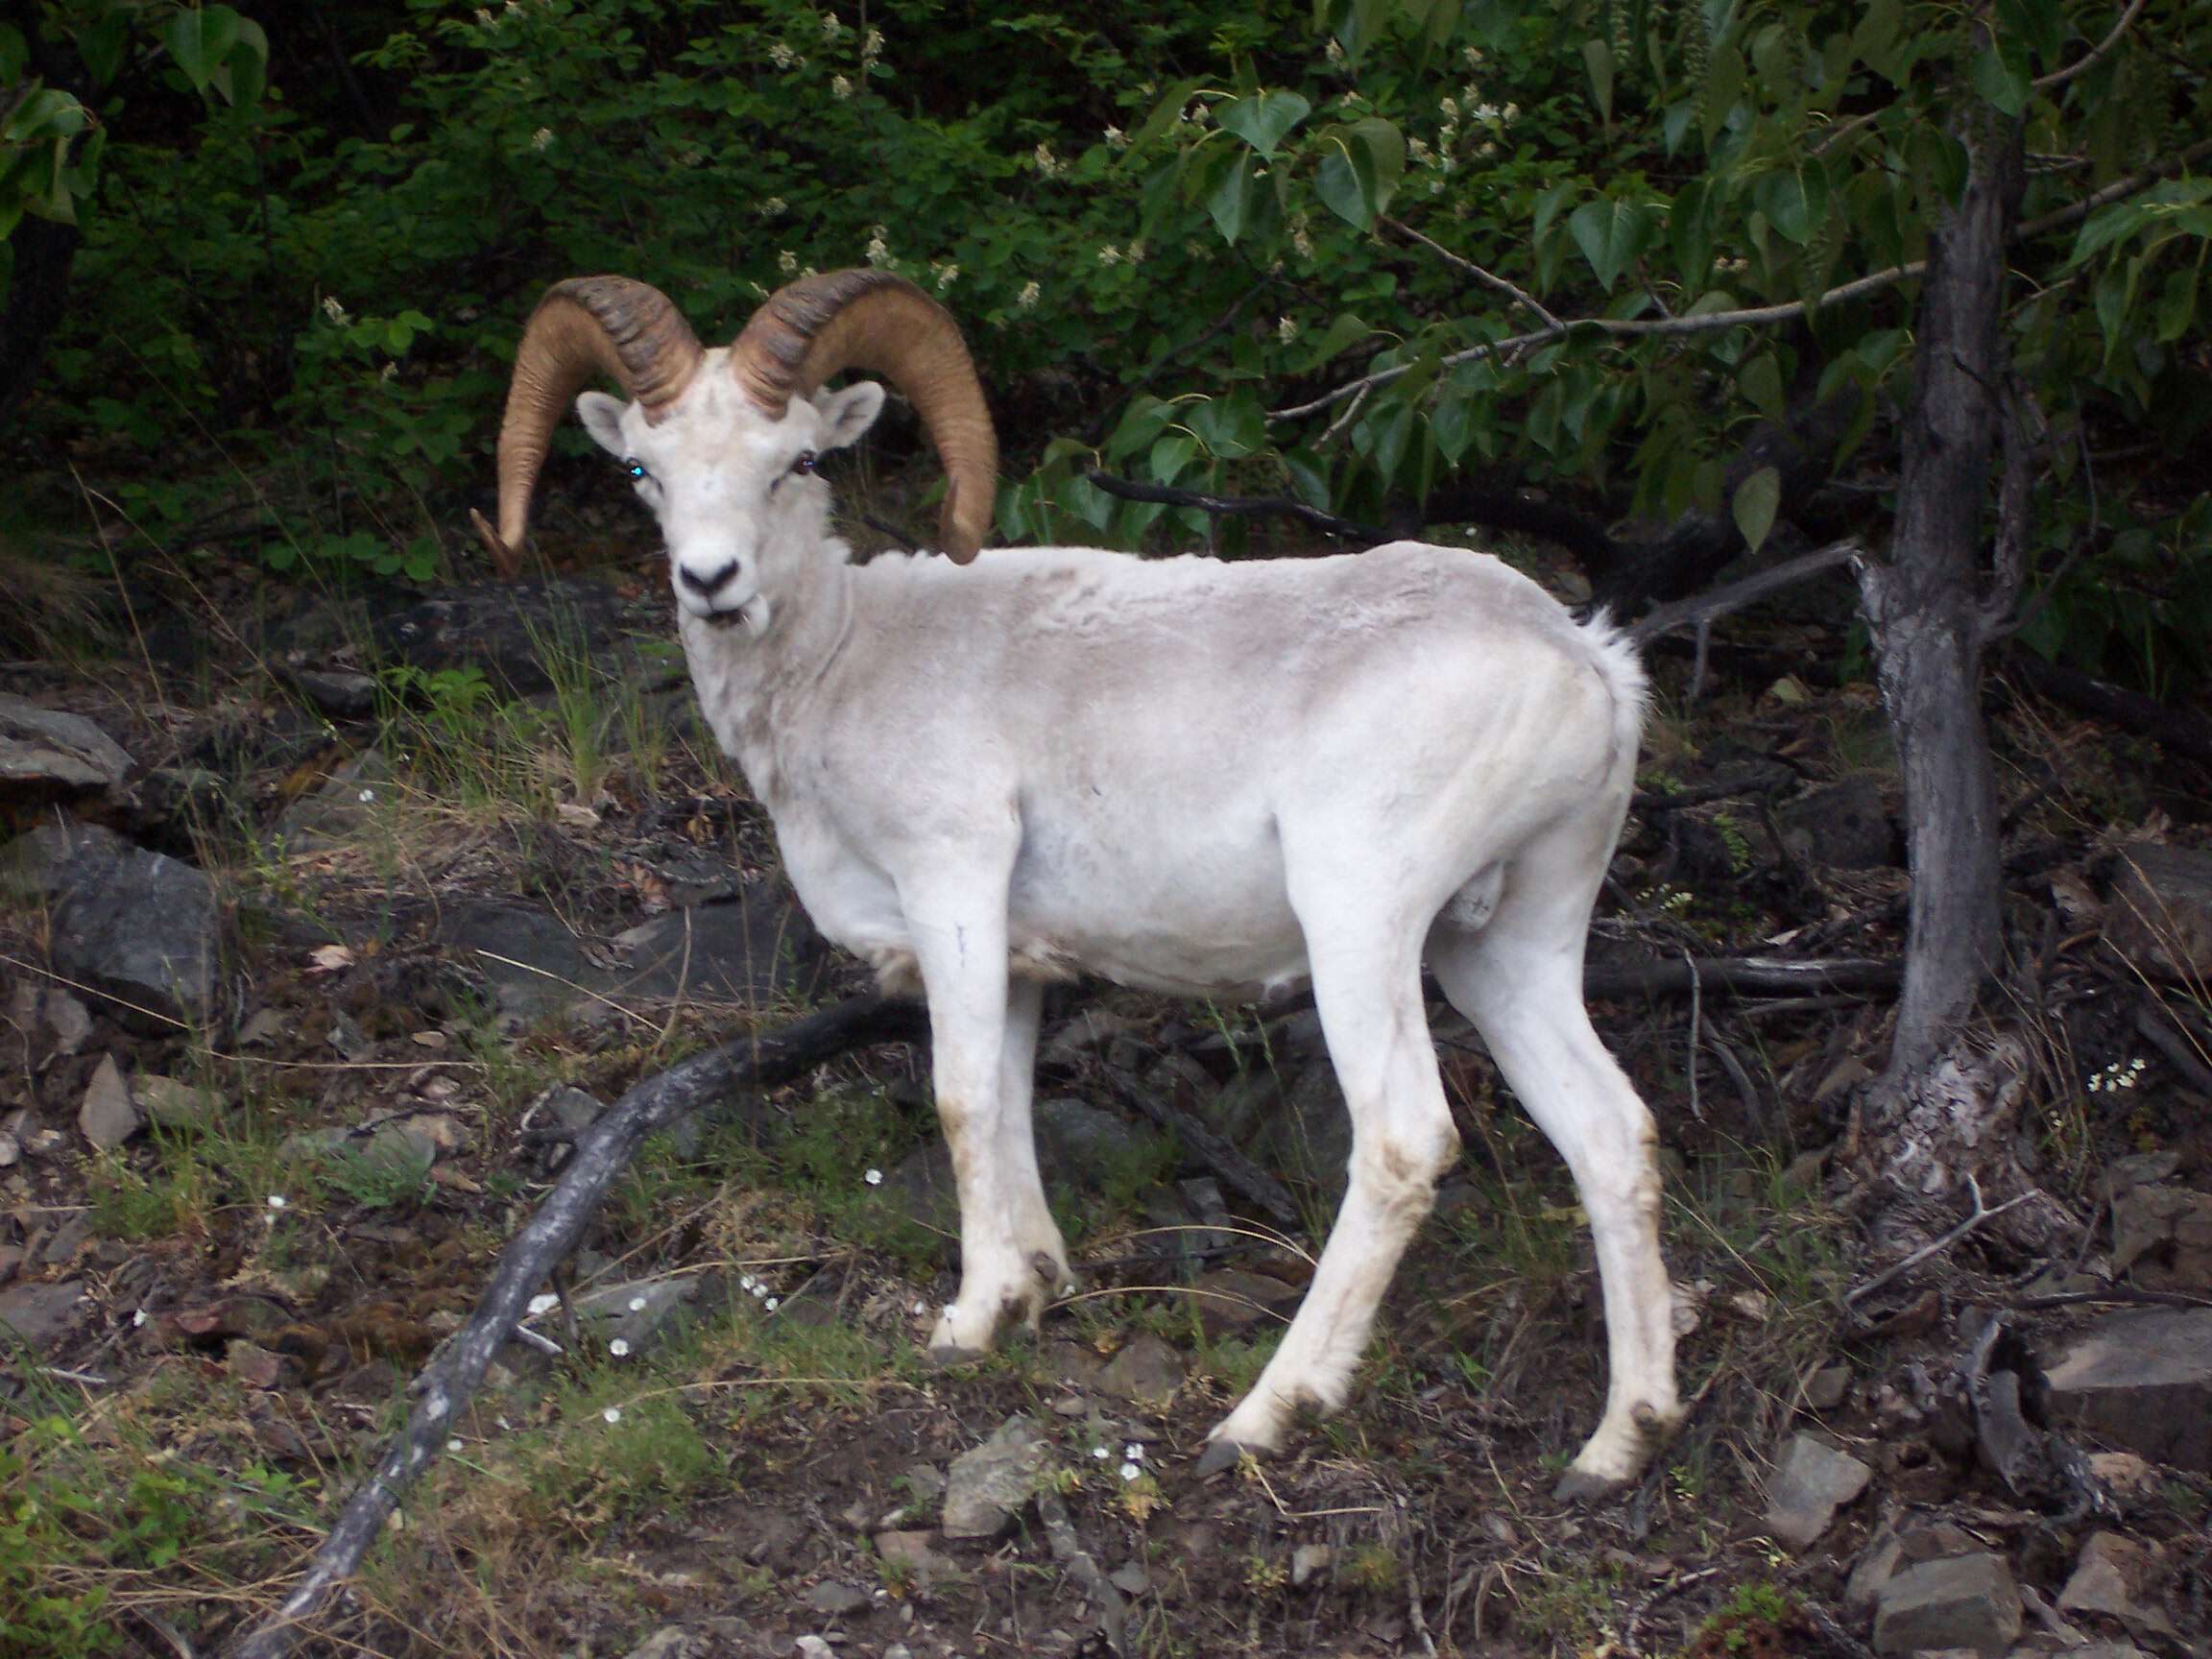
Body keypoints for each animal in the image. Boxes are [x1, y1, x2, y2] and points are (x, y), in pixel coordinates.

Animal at [484, 270, 1681, 1495]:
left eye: (799, 459)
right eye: (645, 471)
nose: (711, 581)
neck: (844, 665)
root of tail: (1585, 662)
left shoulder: (953, 885)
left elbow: (962, 1100)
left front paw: (967, 1326)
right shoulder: (1017, 964)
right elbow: (1012, 1101)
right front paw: (1035, 1288)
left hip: (1361, 915)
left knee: (1400, 1145)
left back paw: (1263, 1415)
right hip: (1507, 944)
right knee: (1608, 1134)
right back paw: (1618, 1444)